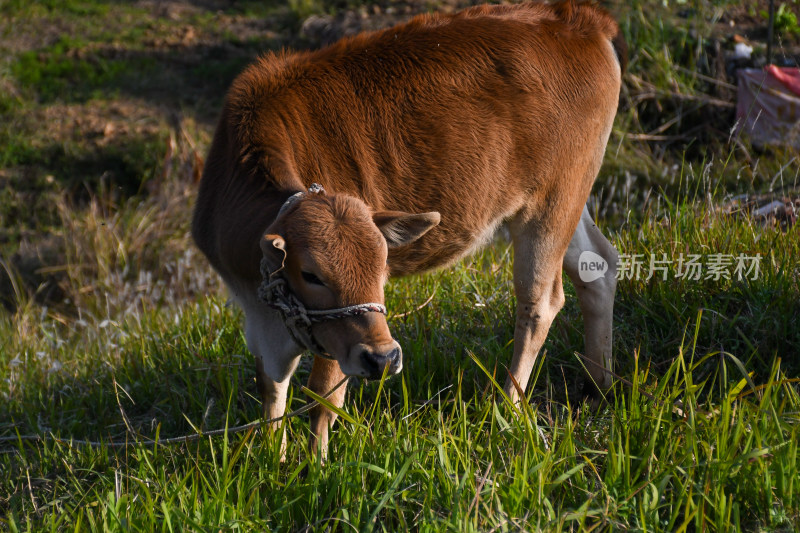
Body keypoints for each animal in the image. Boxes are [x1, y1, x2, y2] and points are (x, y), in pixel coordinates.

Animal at [192, 0, 624, 454]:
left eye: (382, 264)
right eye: (310, 274)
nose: (384, 358)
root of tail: (579, 18)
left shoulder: (338, 338)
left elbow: (322, 399)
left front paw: (316, 464)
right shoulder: (259, 317)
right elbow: (272, 392)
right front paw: (273, 459)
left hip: (550, 201)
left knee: (540, 301)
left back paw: (506, 406)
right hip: (571, 196)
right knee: (597, 267)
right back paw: (599, 385)